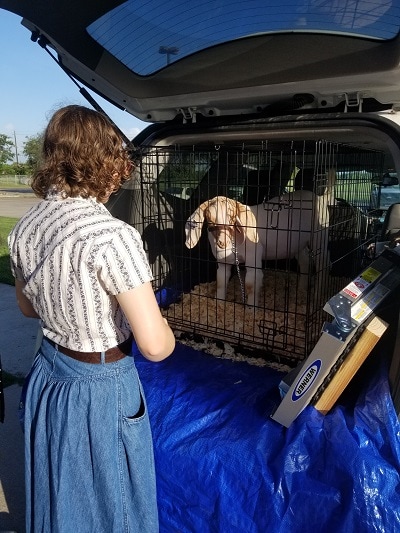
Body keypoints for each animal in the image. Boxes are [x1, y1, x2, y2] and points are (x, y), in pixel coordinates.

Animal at [185, 168, 334, 306]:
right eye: (209, 219)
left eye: (231, 216)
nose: (222, 243)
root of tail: (321, 198)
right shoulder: (222, 261)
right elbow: (221, 280)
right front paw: (219, 304)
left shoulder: (253, 256)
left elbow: (251, 283)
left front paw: (251, 310)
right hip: (298, 242)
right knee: (304, 261)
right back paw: (302, 289)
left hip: (320, 234)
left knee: (324, 261)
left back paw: (318, 295)